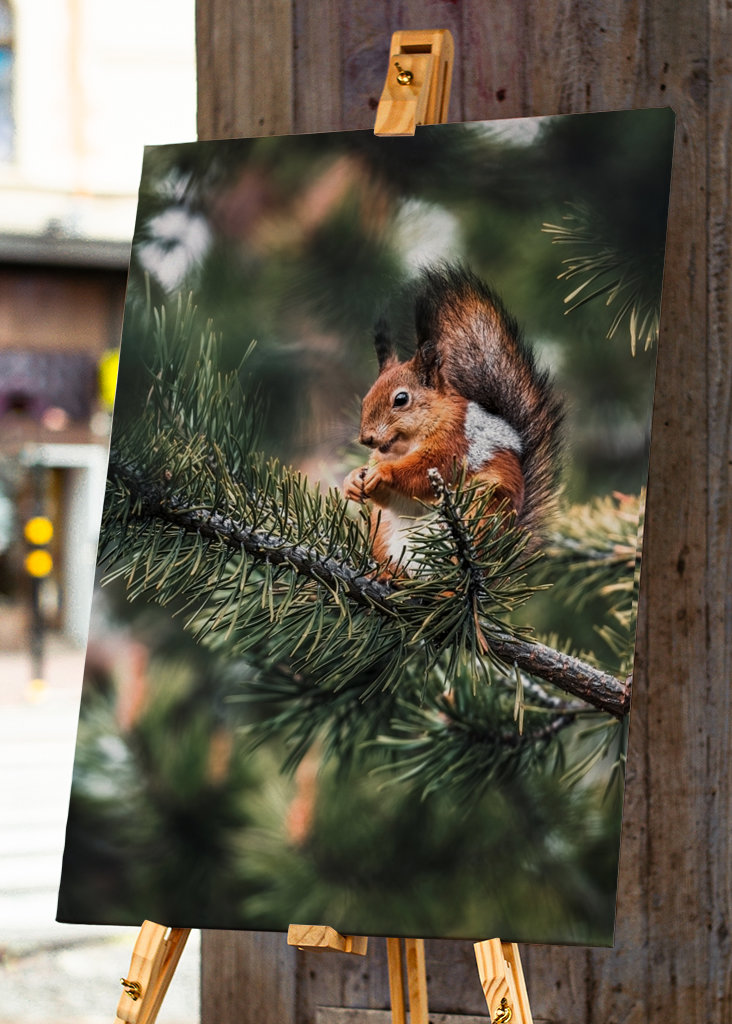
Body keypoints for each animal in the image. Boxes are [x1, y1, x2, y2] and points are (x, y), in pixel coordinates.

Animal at [343, 264, 563, 572]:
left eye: (401, 399)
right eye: (365, 398)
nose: (366, 438)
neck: (405, 445)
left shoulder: (453, 444)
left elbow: (423, 471)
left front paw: (385, 472)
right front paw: (352, 479)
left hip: (480, 512)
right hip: (383, 530)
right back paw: (388, 576)